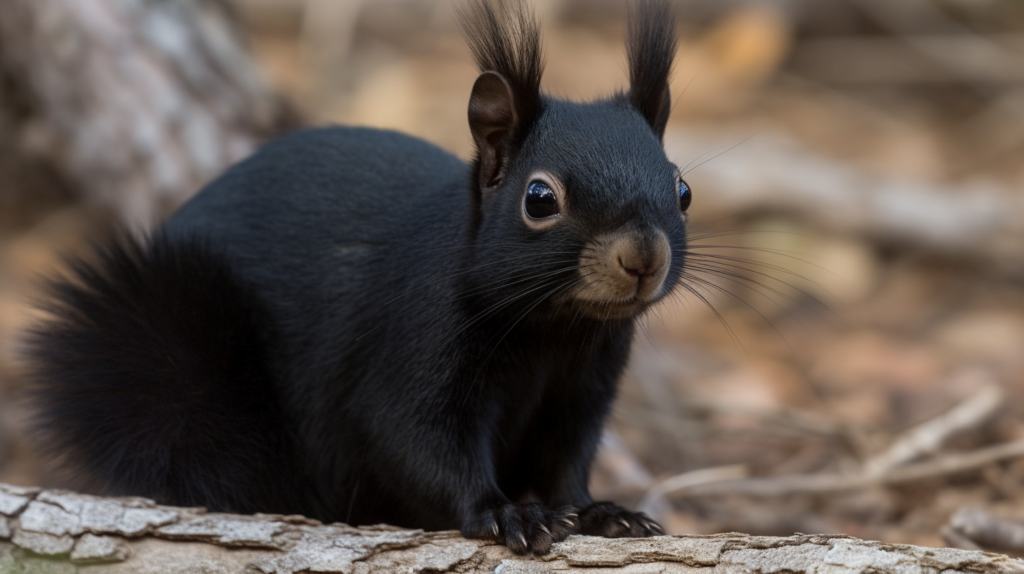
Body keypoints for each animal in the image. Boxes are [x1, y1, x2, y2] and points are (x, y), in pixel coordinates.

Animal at [24, 0, 692, 556]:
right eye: (539, 198)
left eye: (682, 189)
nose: (643, 258)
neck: (553, 331)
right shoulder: (412, 349)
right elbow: (414, 444)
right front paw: (508, 514)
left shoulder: (584, 387)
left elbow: (566, 461)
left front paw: (602, 512)